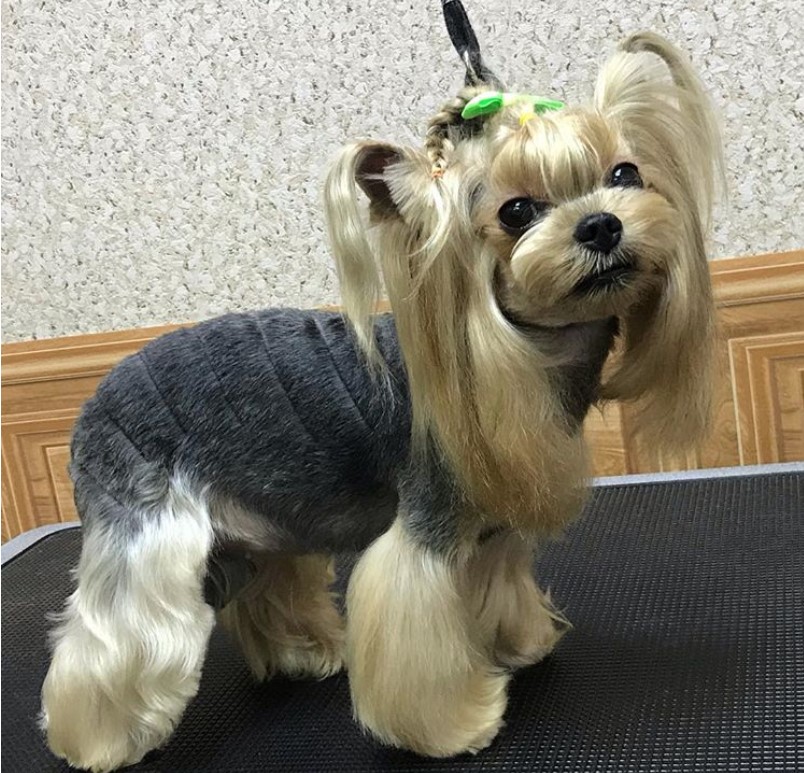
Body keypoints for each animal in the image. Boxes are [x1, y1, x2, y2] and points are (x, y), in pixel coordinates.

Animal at [37, 3, 724, 768]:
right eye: (516, 212)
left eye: (626, 172)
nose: (601, 224)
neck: (527, 352)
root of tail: (93, 401)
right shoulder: (428, 521)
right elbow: (412, 623)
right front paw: (455, 725)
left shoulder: (488, 526)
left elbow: (498, 585)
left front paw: (519, 644)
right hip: (147, 526)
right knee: (112, 633)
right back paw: (97, 739)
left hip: (251, 525)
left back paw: (304, 653)